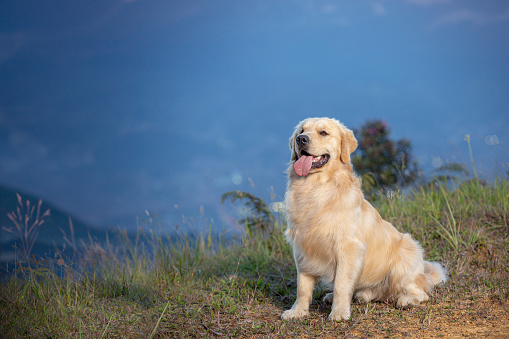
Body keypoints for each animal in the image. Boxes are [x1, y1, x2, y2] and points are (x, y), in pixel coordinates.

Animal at [282, 118, 444, 322]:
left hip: (406, 254)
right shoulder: (303, 247)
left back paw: (407, 300)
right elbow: (302, 287)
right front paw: (297, 312)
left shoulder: (349, 247)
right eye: (301, 131)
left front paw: (339, 313)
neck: (316, 189)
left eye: (323, 133)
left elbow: (341, 284)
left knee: (421, 292)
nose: (301, 139)